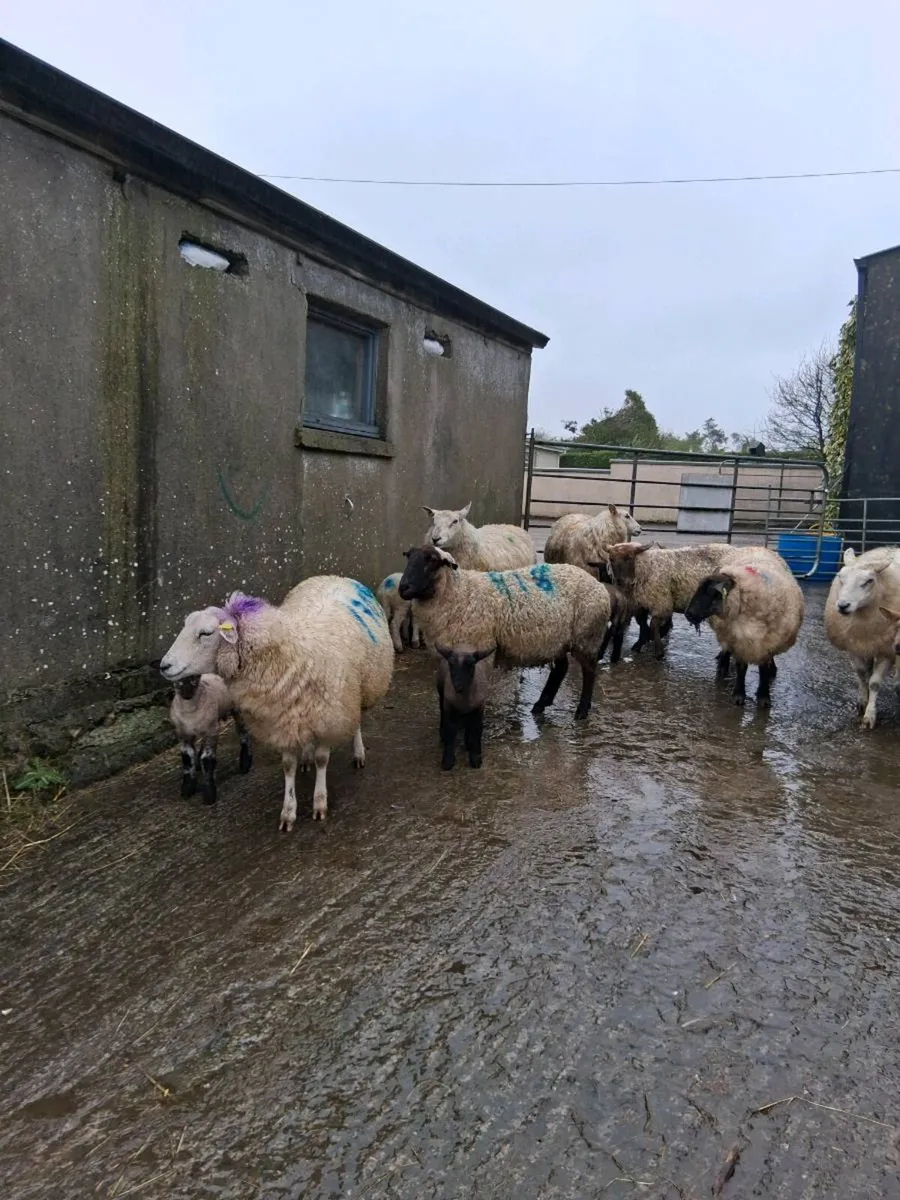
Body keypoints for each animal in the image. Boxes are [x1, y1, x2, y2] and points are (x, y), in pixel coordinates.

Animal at [169, 673, 252, 804]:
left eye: (194, 677)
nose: (187, 690)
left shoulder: (211, 731)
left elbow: (207, 760)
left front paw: (209, 793)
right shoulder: (183, 735)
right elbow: (187, 759)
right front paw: (187, 788)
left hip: (236, 709)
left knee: (243, 731)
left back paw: (245, 762)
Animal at [398, 545, 611, 720]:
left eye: (432, 560)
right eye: (408, 556)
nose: (403, 588)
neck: (459, 593)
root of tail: (597, 585)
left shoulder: (477, 649)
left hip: (587, 635)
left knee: (589, 670)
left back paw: (581, 711)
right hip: (557, 639)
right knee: (561, 669)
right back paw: (540, 705)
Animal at [605, 541, 741, 659]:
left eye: (628, 558)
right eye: (611, 559)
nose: (620, 581)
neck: (647, 567)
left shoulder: (661, 602)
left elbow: (653, 624)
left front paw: (658, 650)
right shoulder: (641, 603)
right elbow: (642, 624)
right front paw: (640, 644)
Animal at [684, 546, 804, 707]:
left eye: (711, 592)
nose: (688, 614)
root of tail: (756, 547)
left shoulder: (768, 643)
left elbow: (763, 670)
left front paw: (764, 697)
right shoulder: (738, 641)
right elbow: (741, 668)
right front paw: (738, 695)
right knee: (726, 650)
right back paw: (722, 665)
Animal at [824, 545, 900, 729]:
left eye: (869, 581)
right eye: (840, 577)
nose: (843, 605)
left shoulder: (886, 649)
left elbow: (874, 683)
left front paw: (869, 715)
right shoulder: (855, 645)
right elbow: (861, 673)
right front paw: (862, 702)